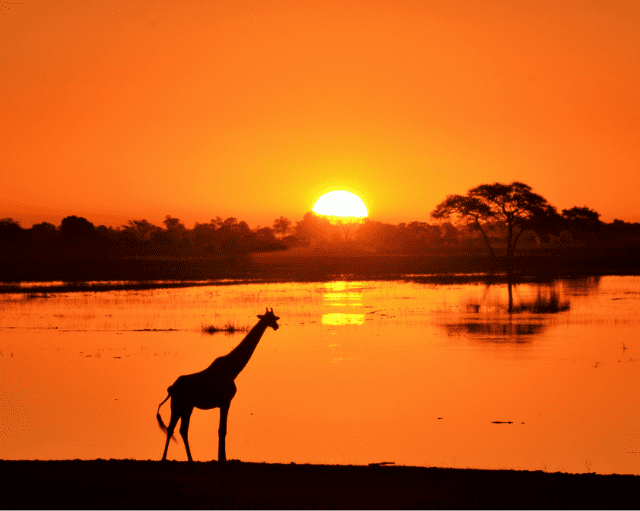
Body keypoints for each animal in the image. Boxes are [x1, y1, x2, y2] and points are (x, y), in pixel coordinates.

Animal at [157, 307, 280, 462]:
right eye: (271, 318)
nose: (277, 326)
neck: (233, 370)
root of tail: (171, 388)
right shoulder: (226, 401)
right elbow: (222, 430)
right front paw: (222, 459)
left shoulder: (223, 403)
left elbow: (221, 430)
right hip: (183, 406)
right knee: (180, 429)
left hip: (179, 406)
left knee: (174, 429)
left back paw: (168, 458)